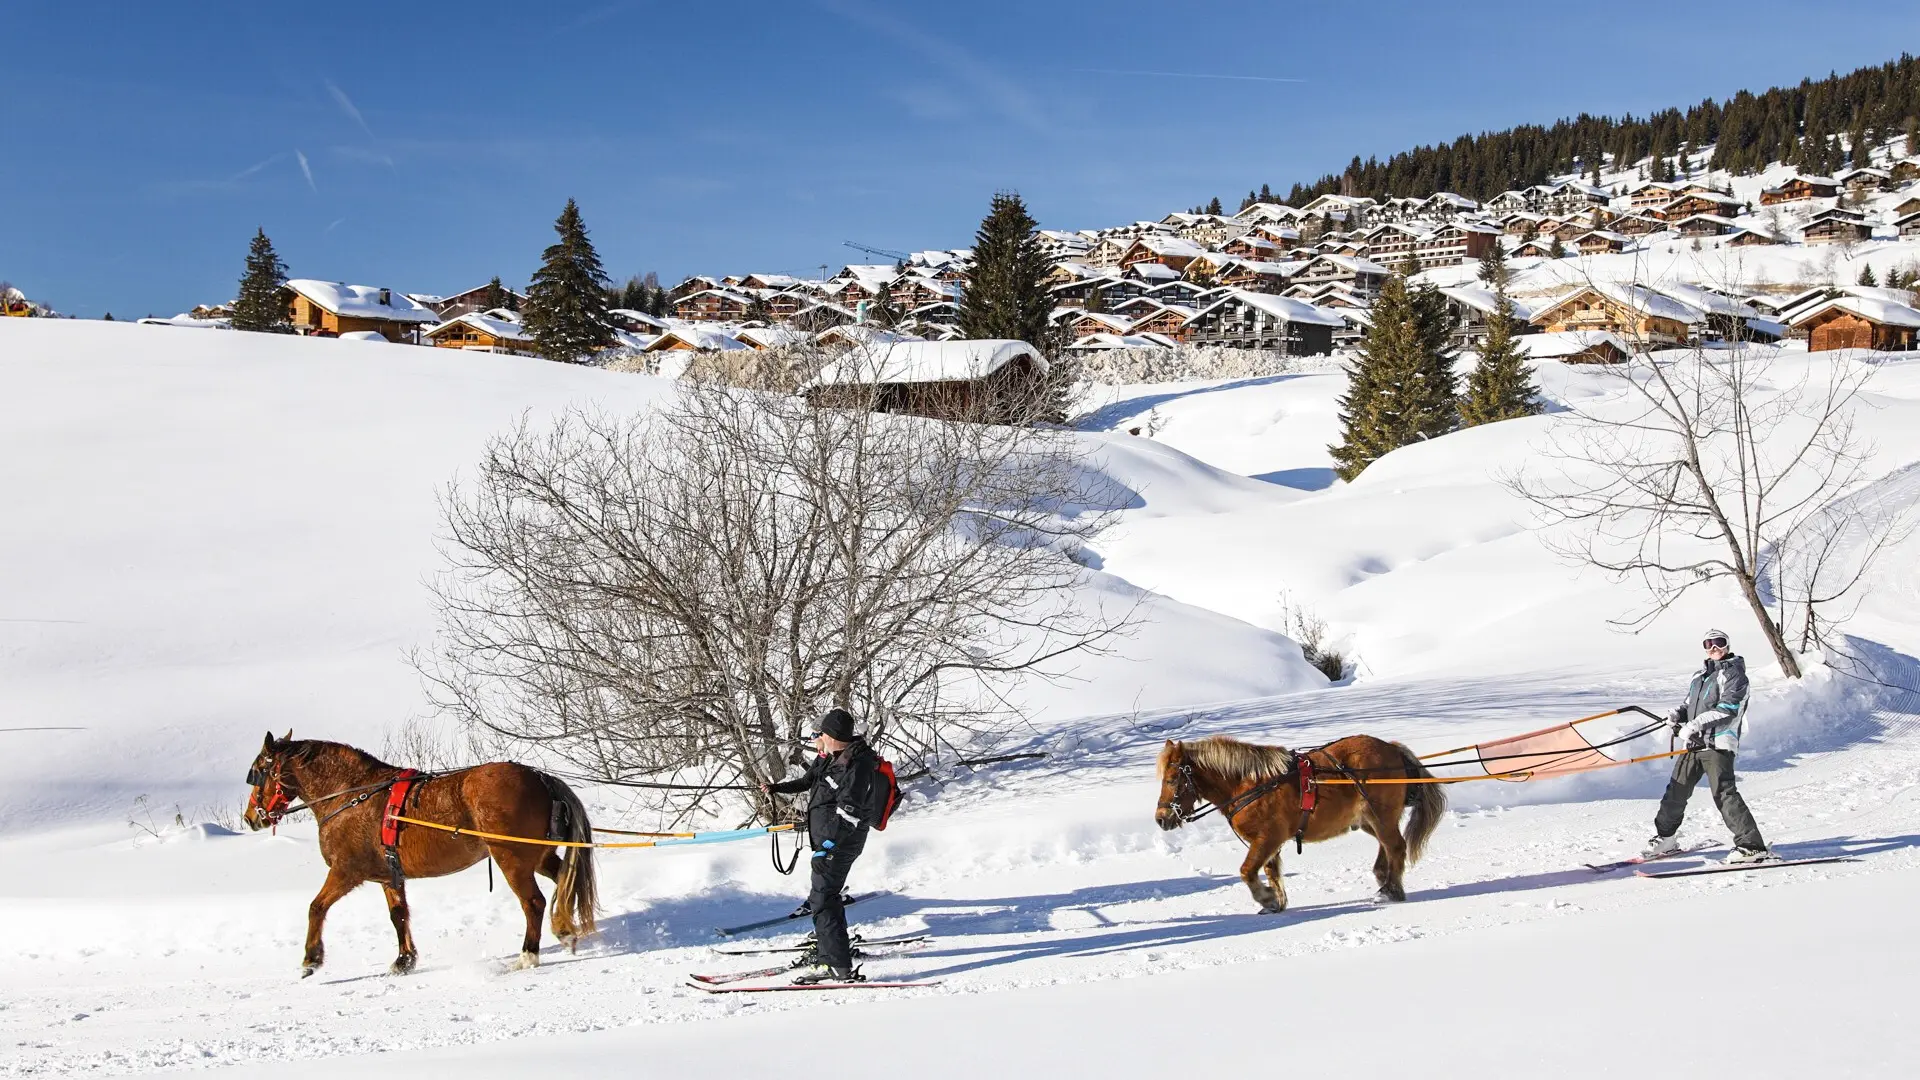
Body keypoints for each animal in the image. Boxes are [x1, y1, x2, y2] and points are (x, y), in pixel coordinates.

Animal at [243, 730, 595, 976]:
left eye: (259, 770)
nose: (251, 817)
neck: (352, 795)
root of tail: (539, 777)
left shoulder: (346, 871)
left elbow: (316, 907)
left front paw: (311, 959)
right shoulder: (389, 875)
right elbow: (399, 916)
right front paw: (404, 960)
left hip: (512, 859)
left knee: (533, 903)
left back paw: (528, 955)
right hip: (538, 856)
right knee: (564, 879)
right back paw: (565, 930)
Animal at [1152, 730, 1443, 907]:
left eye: (1172, 779)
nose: (1161, 818)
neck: (1248, 784)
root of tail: (1392, 750)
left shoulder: (1269, 838)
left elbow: (1247, 871)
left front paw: (1266, 898)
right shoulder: (1267, 843)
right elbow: (1270, 871)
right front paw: (1276, 901)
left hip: (1380, 815)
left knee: (1396, 846)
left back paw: (1393, 889)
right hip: (1368, 820)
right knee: (1387, 847)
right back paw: (1385, 881)